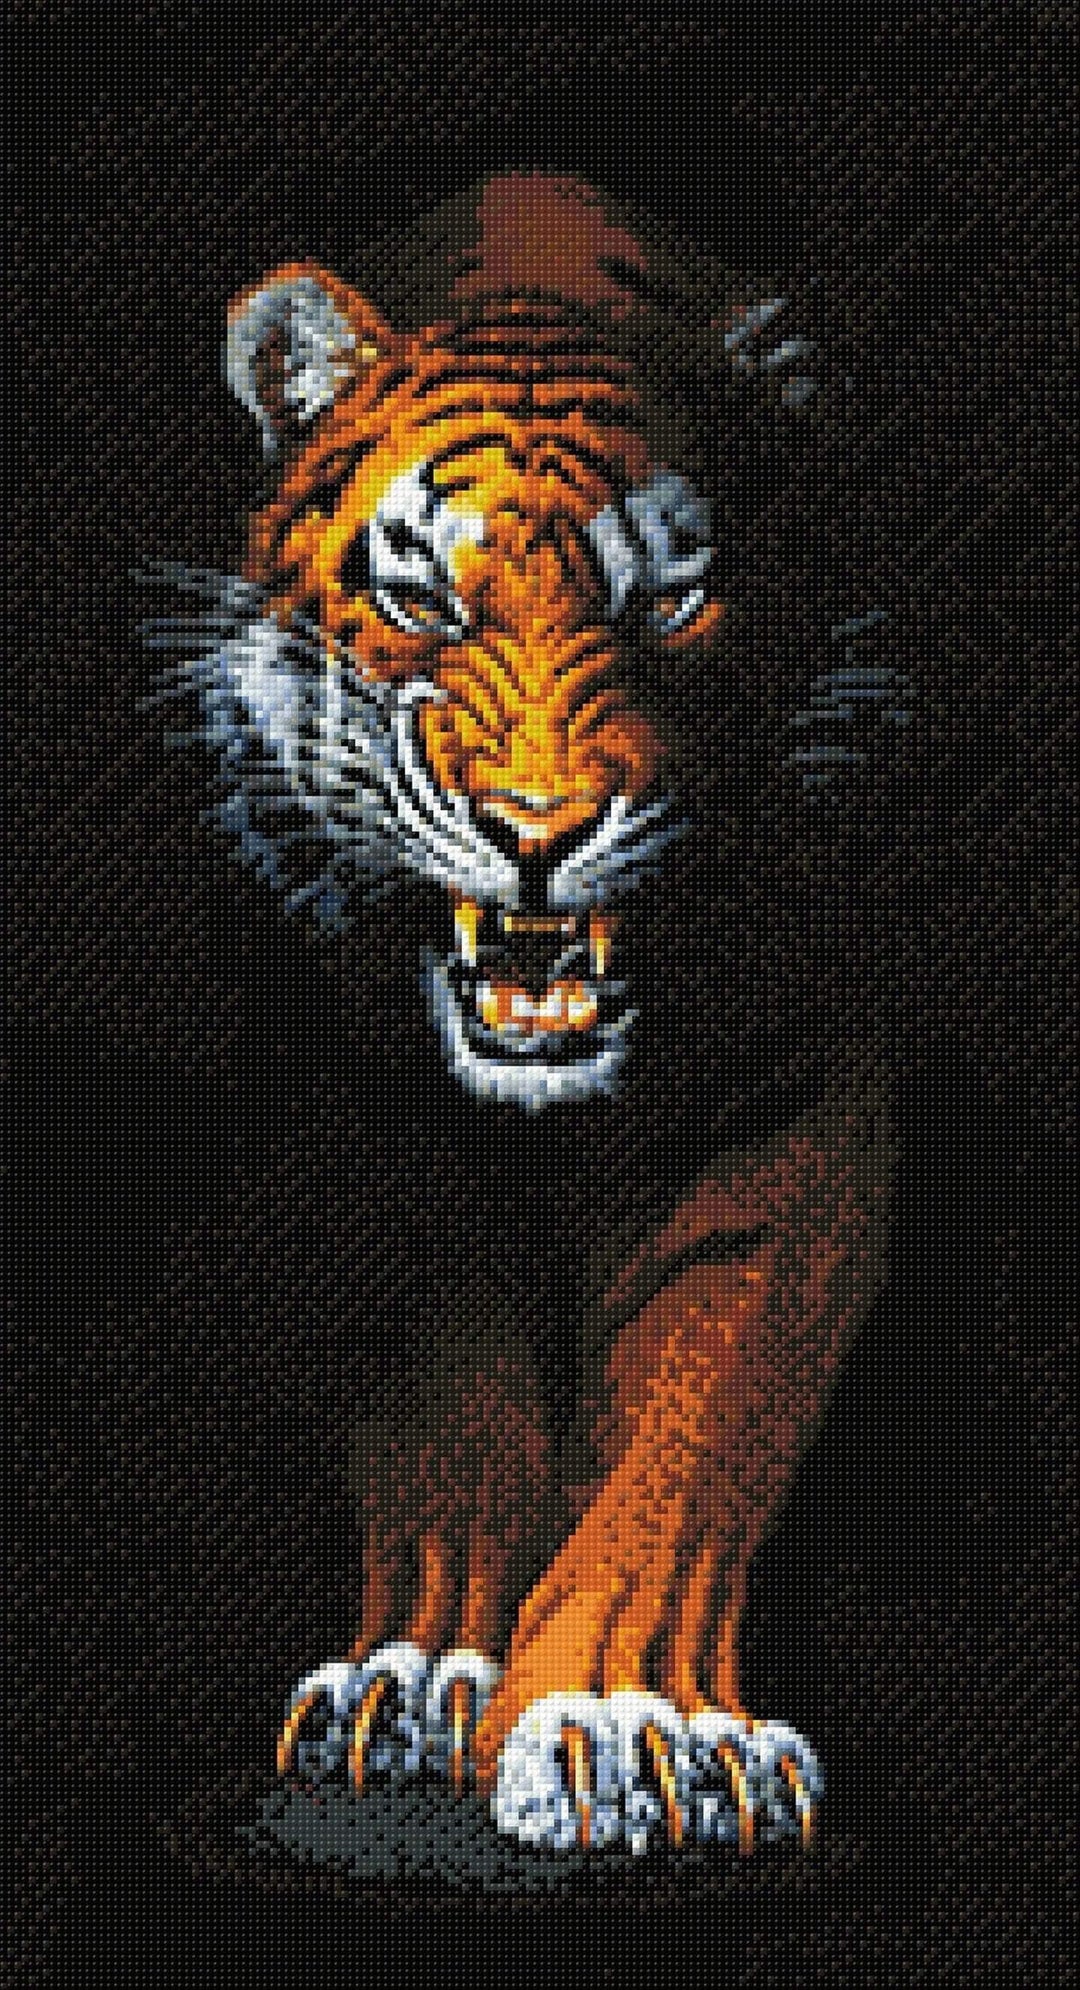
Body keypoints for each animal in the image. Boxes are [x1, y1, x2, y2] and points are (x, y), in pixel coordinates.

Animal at [148, 175, 892, 1855]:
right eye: (421, 595)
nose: (540, 829)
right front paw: (415, 1678)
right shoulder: (349, 1113)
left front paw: (642, 1723)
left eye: (670, 601)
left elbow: (700, 1430)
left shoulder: (797, 1097)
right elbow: (447, 1416)